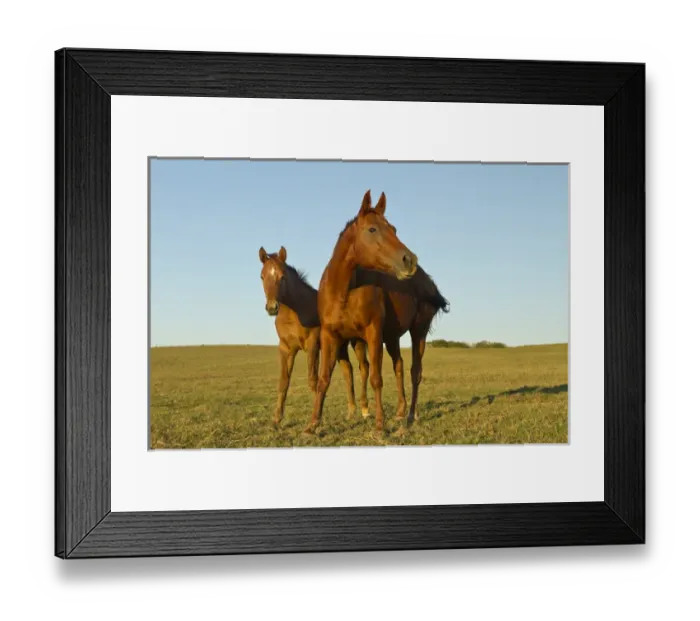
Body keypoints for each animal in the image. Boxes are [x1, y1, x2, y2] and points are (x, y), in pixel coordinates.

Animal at [258, 246, 369, 426]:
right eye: (262, 276)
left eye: (282, 277)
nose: (272, 307)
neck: (296, 311)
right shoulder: (286, 348)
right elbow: (284, 381)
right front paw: (276, 419)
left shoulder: (312, 345)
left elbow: (313, 380)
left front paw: (317, 418)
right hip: (339, 346)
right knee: (348, 371)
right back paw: (351, 412)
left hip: (356, 341)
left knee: (364, 367)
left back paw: (365, 410)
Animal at [305, 189, 419, 435]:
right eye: (372, 229)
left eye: (394, 229)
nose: (409, 260)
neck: (343, 290)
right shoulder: (330, 335)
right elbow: (324, 379)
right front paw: (312, 425)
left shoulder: (373, 332)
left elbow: (377, 378)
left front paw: (379, 425)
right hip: (383, 338)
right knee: (389, 365)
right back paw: (394, 412)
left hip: (409, 333)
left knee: (403, 368)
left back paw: (404, 413)